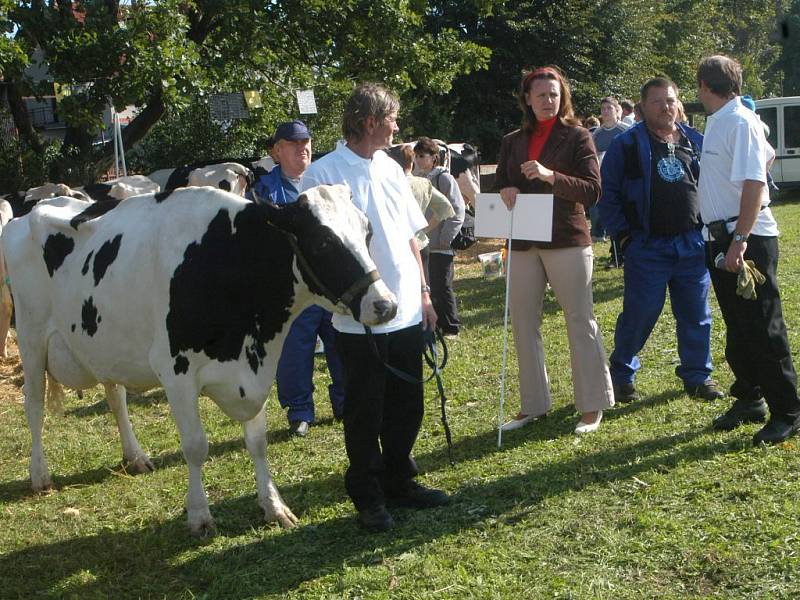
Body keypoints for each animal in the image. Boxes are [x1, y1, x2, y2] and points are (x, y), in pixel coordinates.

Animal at [2, 184, 396, 536]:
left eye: (367, 231)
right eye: (323, 241)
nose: (386, 305)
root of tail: (33, 209)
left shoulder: (255, 368)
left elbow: (257, 441)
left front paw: (273, 506)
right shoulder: (176, 372)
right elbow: (195, 446)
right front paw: (199, 516)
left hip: (102, 344)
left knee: (115, 396)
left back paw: (135, 456)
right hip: (31, 336)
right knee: (34, 405)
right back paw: (40, 475)